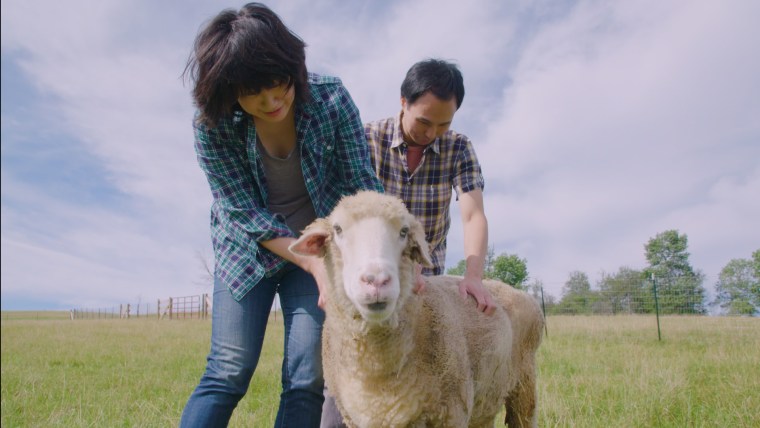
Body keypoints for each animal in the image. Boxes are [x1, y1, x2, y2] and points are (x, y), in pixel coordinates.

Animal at [288, 191, 544, 428]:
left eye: (403, 232)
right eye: (338, 229)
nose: (377, 281)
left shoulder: (453, 412)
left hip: (524, 386)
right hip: (487, 399)